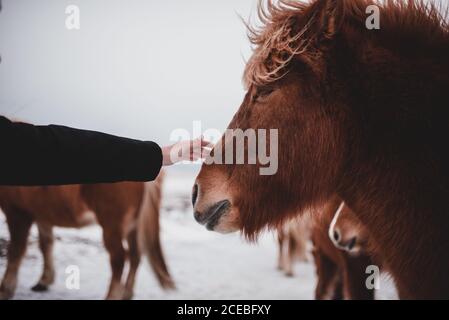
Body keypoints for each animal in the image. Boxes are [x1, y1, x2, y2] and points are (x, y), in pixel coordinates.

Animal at [0, 174, 174, 298]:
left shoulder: (17, 211)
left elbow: (15, 250)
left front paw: (5, 289)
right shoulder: (41, 214)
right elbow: (46, 244)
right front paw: (44, 280)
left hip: (112, 224)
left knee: (119, 258)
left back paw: (112, 296)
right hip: (133, 226)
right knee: (135, 255)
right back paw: (126, 293)